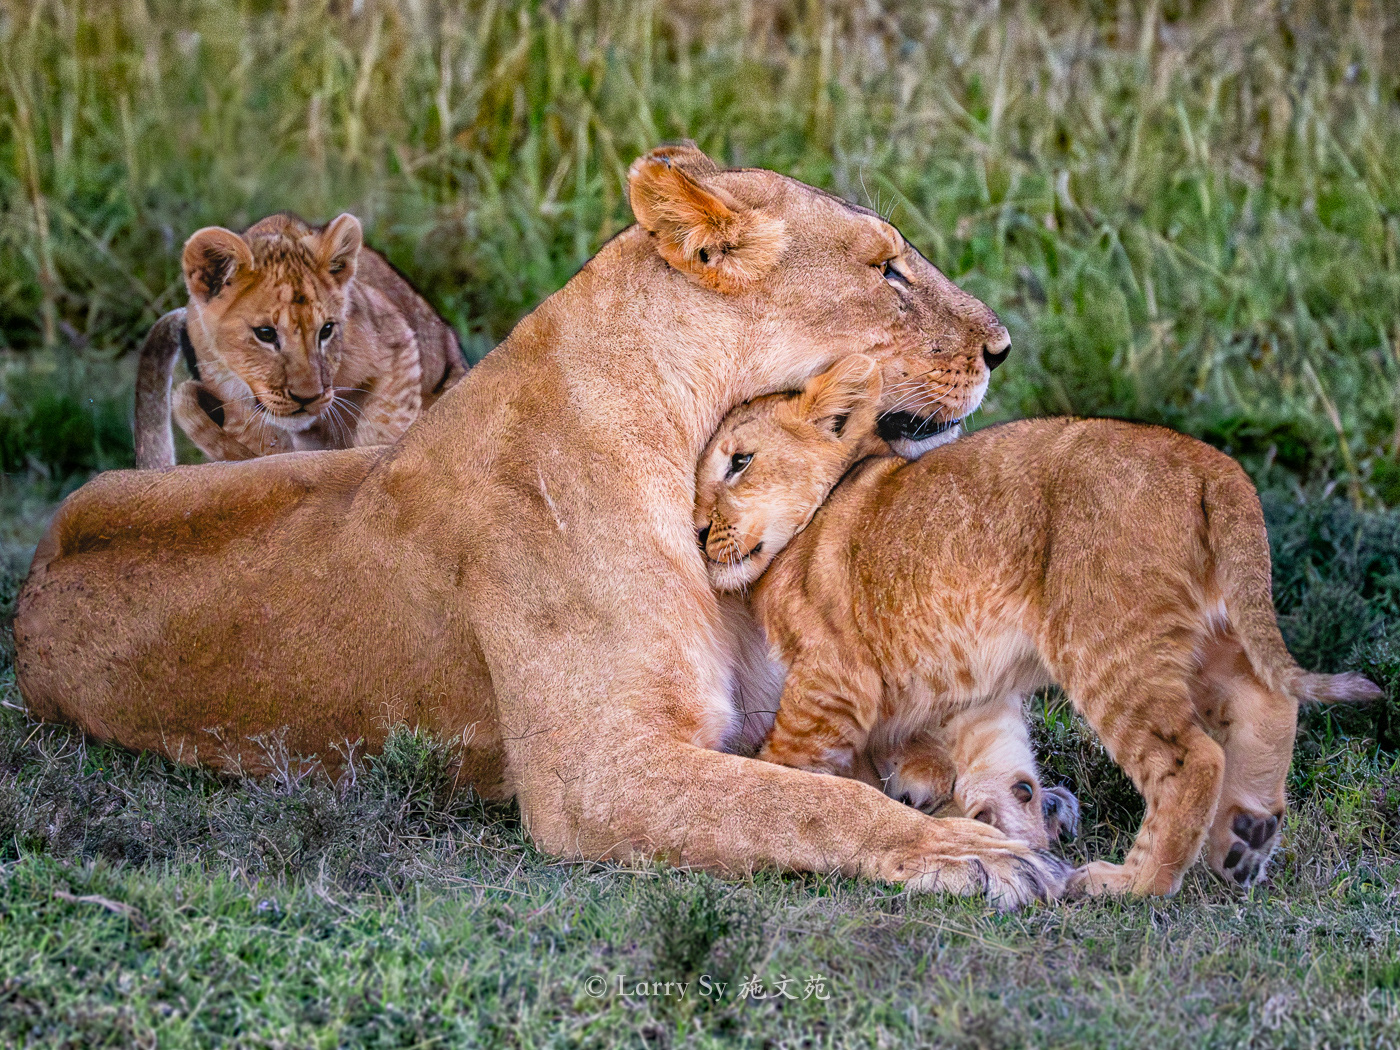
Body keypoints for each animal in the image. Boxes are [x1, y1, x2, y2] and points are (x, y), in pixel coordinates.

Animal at [133, 212, 466, 470]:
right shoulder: (242, 416)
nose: (307, 398)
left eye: (326, 330)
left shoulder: (397, 344)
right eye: (265, 334)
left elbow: (382, 430)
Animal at [693, 357, 1380, 894]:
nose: (696, 533)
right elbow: (1003, 768)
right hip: (1209, 631)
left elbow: (785, 764)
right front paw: (1015, 835)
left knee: (1193, 758)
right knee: (1268, 702)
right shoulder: (973, 688)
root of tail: (1210, 462)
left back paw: (1129, 883)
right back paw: (1245, 838)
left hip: (1105, 637)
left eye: (740, 462)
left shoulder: (831, 679)